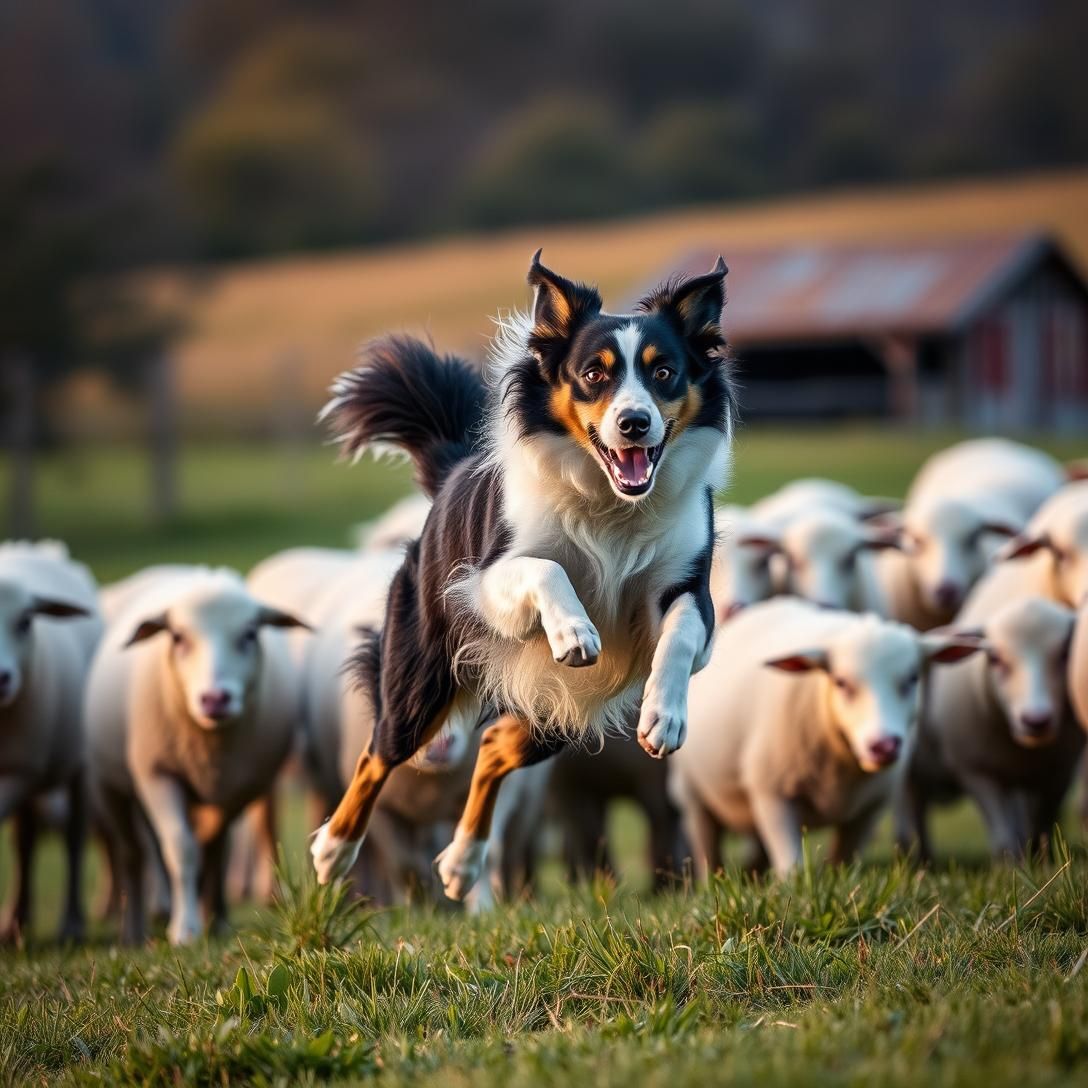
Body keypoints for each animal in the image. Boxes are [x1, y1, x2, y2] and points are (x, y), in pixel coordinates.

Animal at [0, 541, 101, 942]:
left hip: (76, 765)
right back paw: (16, 921)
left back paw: (71, 924)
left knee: (73, 837)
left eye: (26, 621)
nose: (1, 678)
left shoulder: (19, 769)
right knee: (25, 843)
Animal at [85, 567, 309, 945]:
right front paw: (185, 930)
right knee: (132, 853)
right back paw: (134, 931)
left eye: (250, 634)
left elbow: (214, 846)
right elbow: (182, 848)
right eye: (177, 637)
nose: (215, 699)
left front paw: (212, 919)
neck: (209, 751)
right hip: (108, 785)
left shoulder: (237, 787)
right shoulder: (158, 774)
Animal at [668, 597, 979, 876]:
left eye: (913, 678)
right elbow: (792, 867)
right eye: (841, 682)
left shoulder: (872, 806)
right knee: (707, 849)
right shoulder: (772, 794)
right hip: (693, 795)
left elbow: (843, 863)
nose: (883, 745)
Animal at [897, 595, 1082, 860]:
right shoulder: (978, 772)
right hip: (913, 770)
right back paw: (919, 858)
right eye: (994, 658)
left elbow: (1042, 828)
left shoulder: (1060, 773)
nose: (1035, 720)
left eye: (1066, 653)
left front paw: (1040, 861)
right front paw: (1010, 866)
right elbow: (1003, 836)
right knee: (914, 809)